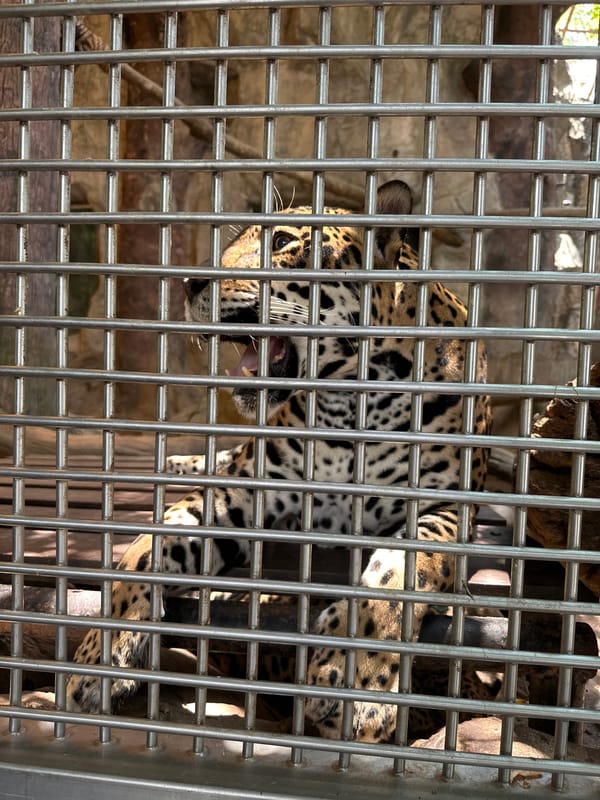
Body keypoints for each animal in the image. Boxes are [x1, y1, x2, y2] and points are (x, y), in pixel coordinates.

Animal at [66, 180, 491, 742]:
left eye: (284, 241)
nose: (188, 283)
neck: (346, 406)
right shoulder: (237, 492)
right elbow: (144, 550)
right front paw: (103, 650)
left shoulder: (445, 509)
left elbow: (400, 571)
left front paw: (359, 678)